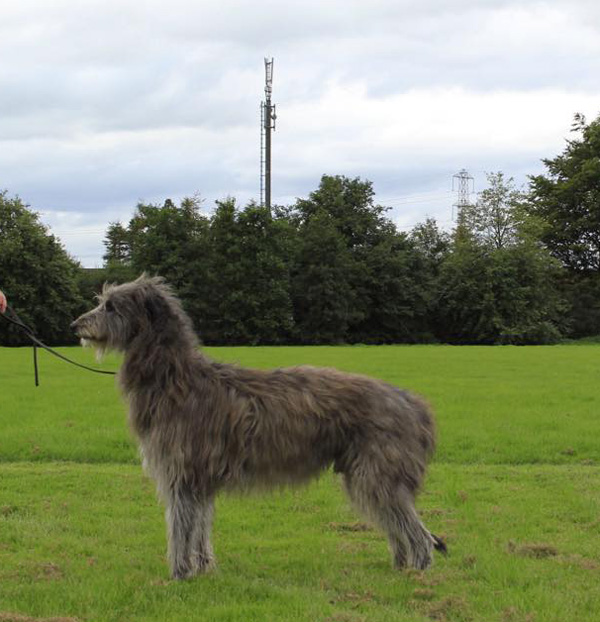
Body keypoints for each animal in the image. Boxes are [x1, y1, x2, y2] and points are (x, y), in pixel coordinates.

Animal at [71, 276, 446, 580]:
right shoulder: (201, 479)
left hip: (378, 472)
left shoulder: (182, 472)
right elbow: (200, 527)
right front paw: (204, 568)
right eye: (102, 301)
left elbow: (180, 528)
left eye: (111, 305)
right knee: (397, 525)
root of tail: (414, 403)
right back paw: (400, 566)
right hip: (366, 476)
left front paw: (179, 574)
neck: (175, 378)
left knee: (418, 533)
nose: (75, 325)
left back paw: (418, 575)